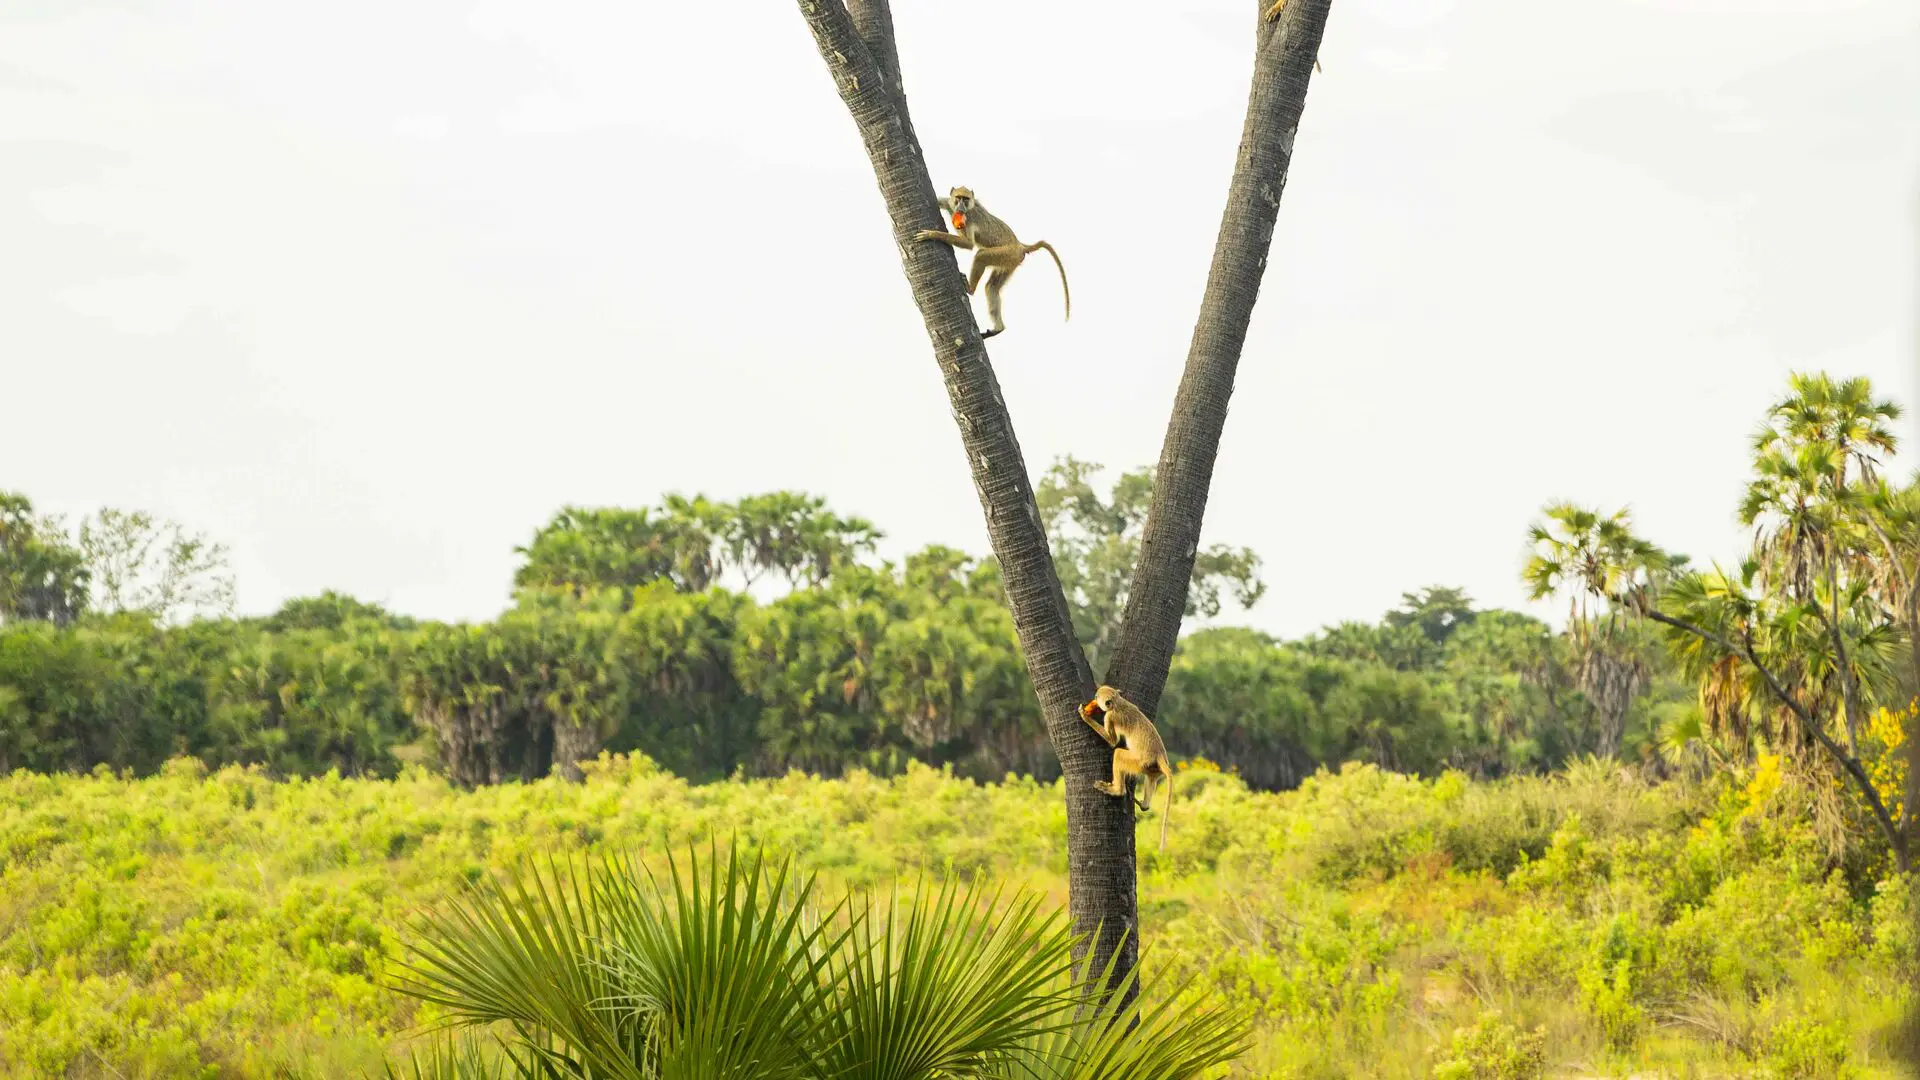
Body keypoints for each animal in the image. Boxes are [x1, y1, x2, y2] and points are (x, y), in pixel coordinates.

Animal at [914, 186, 1069, 339]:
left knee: (980, 256)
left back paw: (970, 289)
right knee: (991, 287)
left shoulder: (969, 218)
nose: (961, 207)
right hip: (1010, 262)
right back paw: (998, 328)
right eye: (958, 198)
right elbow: (942, 202)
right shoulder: (948, 203)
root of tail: (1020, 245)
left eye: (966, 199)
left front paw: (932, 234)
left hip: (1008, 254)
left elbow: (968, 244)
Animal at [1079, 685, 1174, 852]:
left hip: (1138, 762)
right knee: (1151, 778)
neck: (1118, 702)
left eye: (1097, 697)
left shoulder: (1110, 716)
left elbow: (1113, 741)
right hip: (1151, 767)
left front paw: (1085, 716)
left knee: (1118, 754)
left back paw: (1117, 790)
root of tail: (1159, 755)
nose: (1094, 699)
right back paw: (1144, 805)